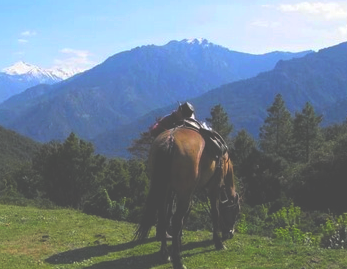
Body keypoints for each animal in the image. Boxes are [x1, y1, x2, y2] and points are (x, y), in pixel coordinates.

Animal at [135, 126, 241, 268]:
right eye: (236, 213)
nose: (230, 233)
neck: (224, 160)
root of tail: (170, 140)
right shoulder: (213, 187)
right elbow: (215, 212)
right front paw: (218, 242)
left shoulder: (179, 192)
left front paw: (178, 241)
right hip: (185, 193)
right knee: (176, 220)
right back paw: (178, 260)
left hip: (164, 189)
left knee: (163, 218)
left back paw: (165, 254)